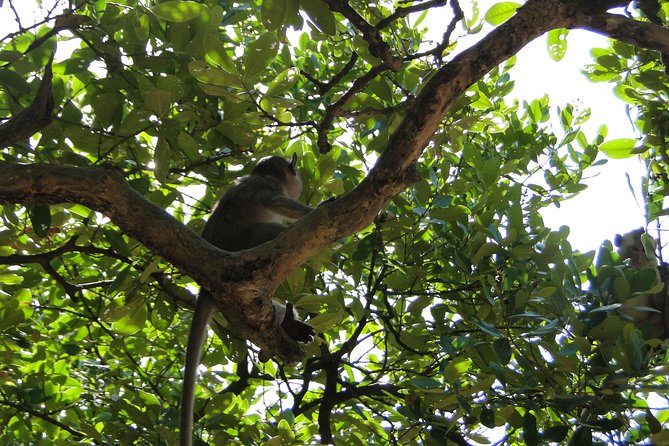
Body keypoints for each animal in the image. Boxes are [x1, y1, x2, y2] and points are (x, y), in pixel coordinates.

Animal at [180, 154, 316, 446]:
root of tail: (205, 286)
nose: (299, 182)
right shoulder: (266, 187)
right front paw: (318, 208)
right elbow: (278, 204)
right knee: (268, 230)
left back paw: (286, 328)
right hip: (242, 249)